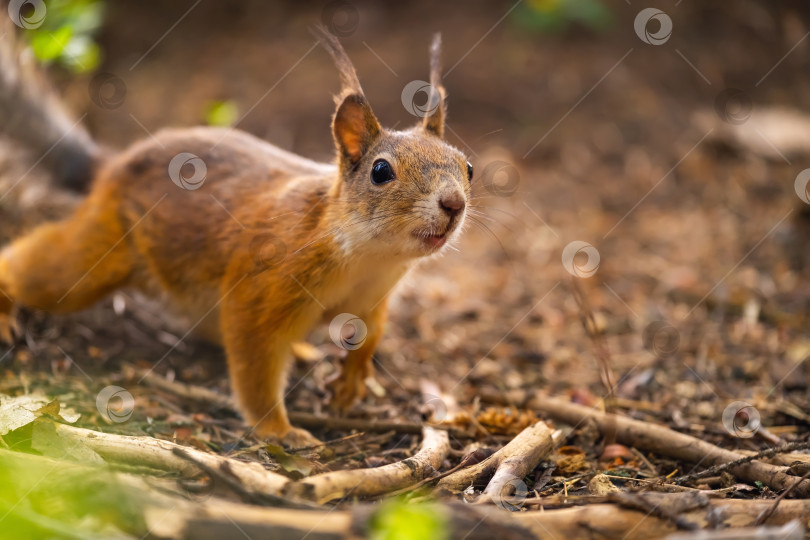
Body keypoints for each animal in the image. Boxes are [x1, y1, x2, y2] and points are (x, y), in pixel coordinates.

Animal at [0, 26, 470, 448]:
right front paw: (279, 430)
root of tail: (111, 166)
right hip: (98, 255)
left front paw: (351, 381)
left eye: (467, 166)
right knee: (41, 269)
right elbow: (254, 364)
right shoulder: (261, 286)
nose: (454, 203)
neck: (368, 256)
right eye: (381, 171)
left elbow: (370, 335)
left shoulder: (374, 296)